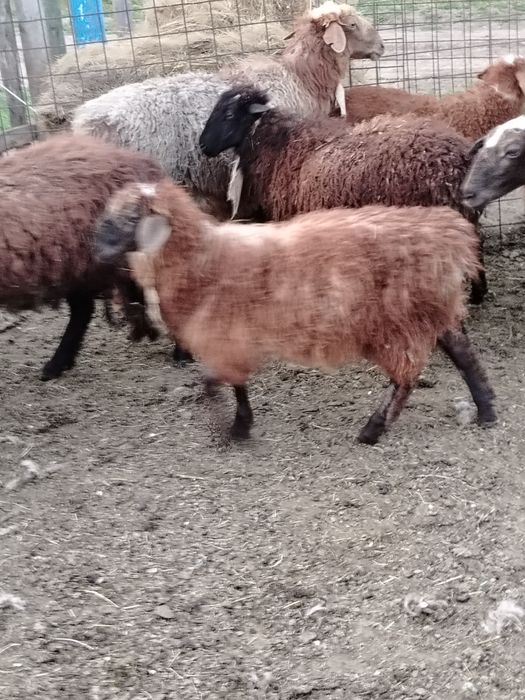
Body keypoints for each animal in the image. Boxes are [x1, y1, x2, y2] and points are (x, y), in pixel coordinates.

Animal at [94, 179, 496, 445]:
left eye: (129, 218)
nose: (95, 253)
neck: (203, 258)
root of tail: (447, 233)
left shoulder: (225, 337)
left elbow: (213, 384)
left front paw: (231, 429)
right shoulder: (231, 339)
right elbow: (230, 383)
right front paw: (241, 425)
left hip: (394, 321)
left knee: (407, 377)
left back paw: (373, 429)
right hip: (427, 305)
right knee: (460, 350)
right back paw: (487, 410)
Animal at [199, 85, 488, 304]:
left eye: (228, 114)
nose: (203, 146)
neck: (280, 144)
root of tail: (461, 156)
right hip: (464, 215)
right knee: (476, 246)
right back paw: (479, 293)